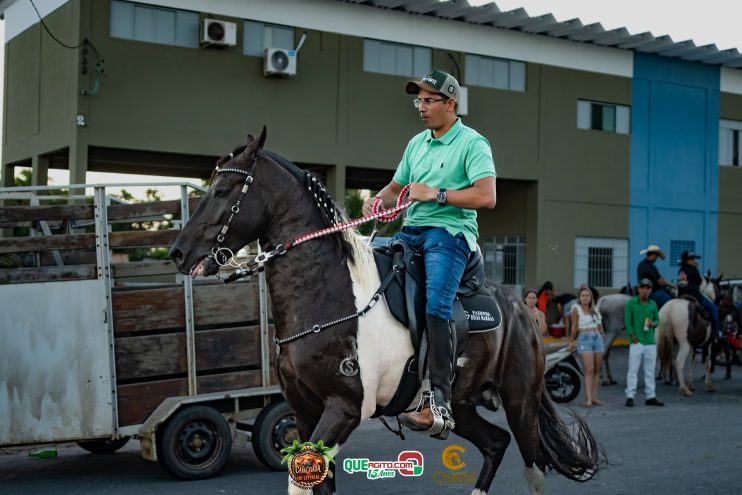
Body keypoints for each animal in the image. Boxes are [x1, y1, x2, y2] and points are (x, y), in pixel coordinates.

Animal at [167, 130, 600, 494]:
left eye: (223, 190)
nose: (178, 253)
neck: (329, 298)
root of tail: (519, 309)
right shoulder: (305, 413)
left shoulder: (344, 409)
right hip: (462, 404)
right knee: (496, 443)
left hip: (520, 402)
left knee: (533, 467)